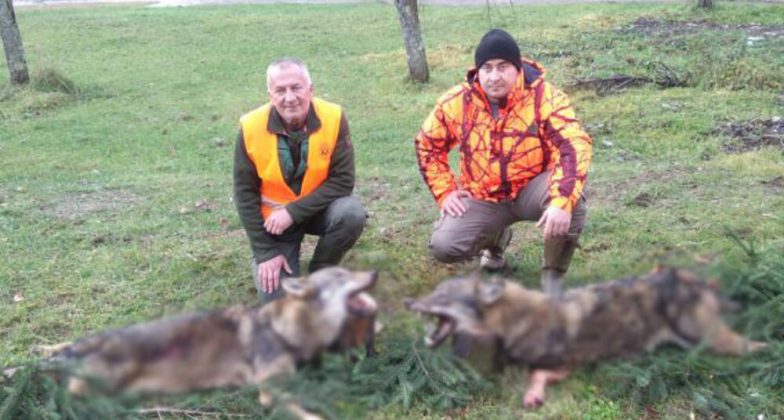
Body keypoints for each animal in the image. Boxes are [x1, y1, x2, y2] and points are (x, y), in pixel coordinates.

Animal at [36, 267, 378, 419]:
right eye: (340, 275)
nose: (374, 273)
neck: (284, 329)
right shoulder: (269, 390)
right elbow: (307, 413)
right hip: (104, 378)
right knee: (70, 385)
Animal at [406, 266, 766, 408]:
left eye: (442, 298)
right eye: (434, 292)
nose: (408, 303)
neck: (514, 319)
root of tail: (687, 278)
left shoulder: (574, 361)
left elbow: (538, 373)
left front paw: (533, 394)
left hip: (710, 339)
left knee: (754, 346)